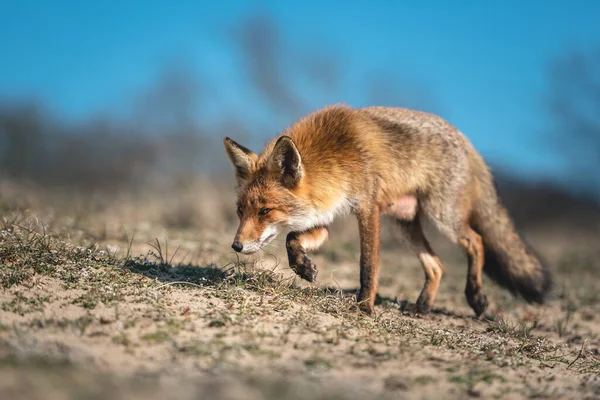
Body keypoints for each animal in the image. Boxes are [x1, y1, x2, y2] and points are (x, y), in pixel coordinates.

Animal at [224, 105, 552, 316]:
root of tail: (464, 138)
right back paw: (422, 307)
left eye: (265, 211)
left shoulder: (368, 208)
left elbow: (368, 266)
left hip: (442, 216)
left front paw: (364, 307)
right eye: (241, 211)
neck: (337, 158)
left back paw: (476, 297)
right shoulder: (326, 214)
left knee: (477, 241)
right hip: (404, 223)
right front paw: (304, 267)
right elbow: (293, 238)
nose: (236, 245)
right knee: (436, 265)